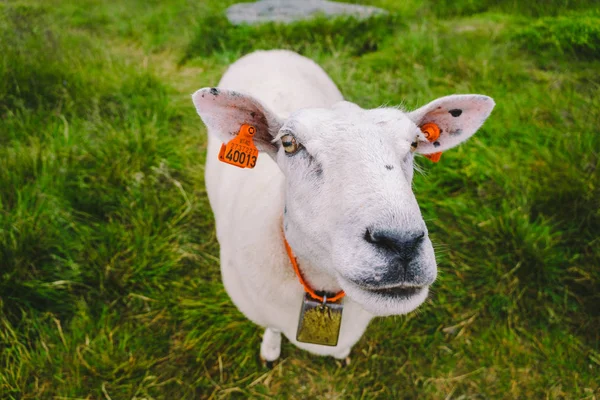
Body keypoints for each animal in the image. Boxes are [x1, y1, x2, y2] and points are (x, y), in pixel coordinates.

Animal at [191, 50, 492, 366]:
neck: (323, 286)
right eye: (288, 143)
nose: (402, 243)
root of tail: (269, 51)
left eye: (414, 143)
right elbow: (271, 327)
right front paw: (270, 350)